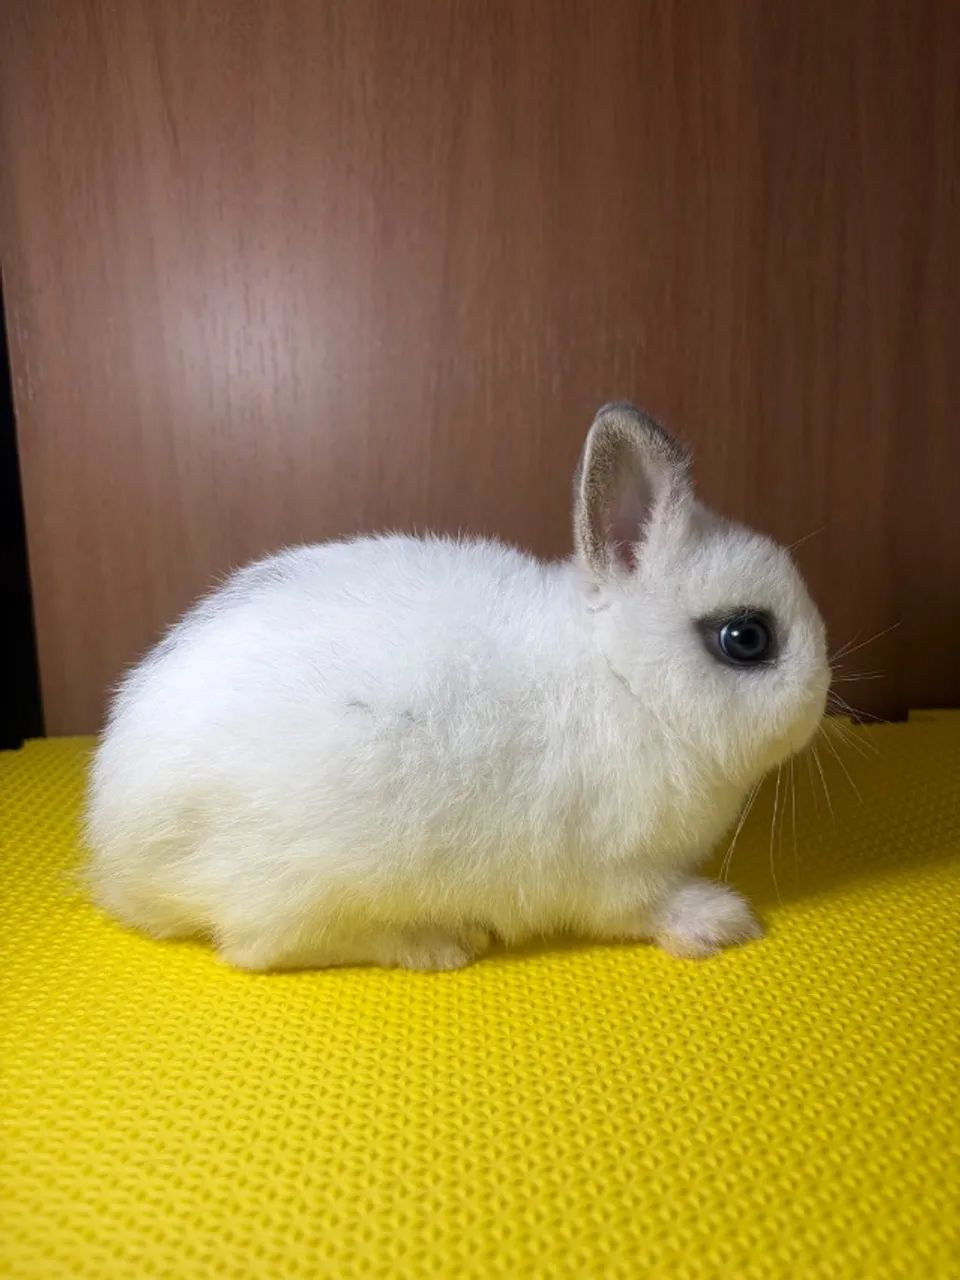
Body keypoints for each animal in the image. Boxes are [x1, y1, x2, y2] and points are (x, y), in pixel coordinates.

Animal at [85, 402, 830, 972]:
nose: (823, 693)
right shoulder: (616, 873)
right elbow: (646, 907)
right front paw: (722, 920)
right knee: (260, 950)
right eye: (746, 638)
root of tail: (115, 854)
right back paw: (438, 940)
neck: (624, 680)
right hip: (301, 882)